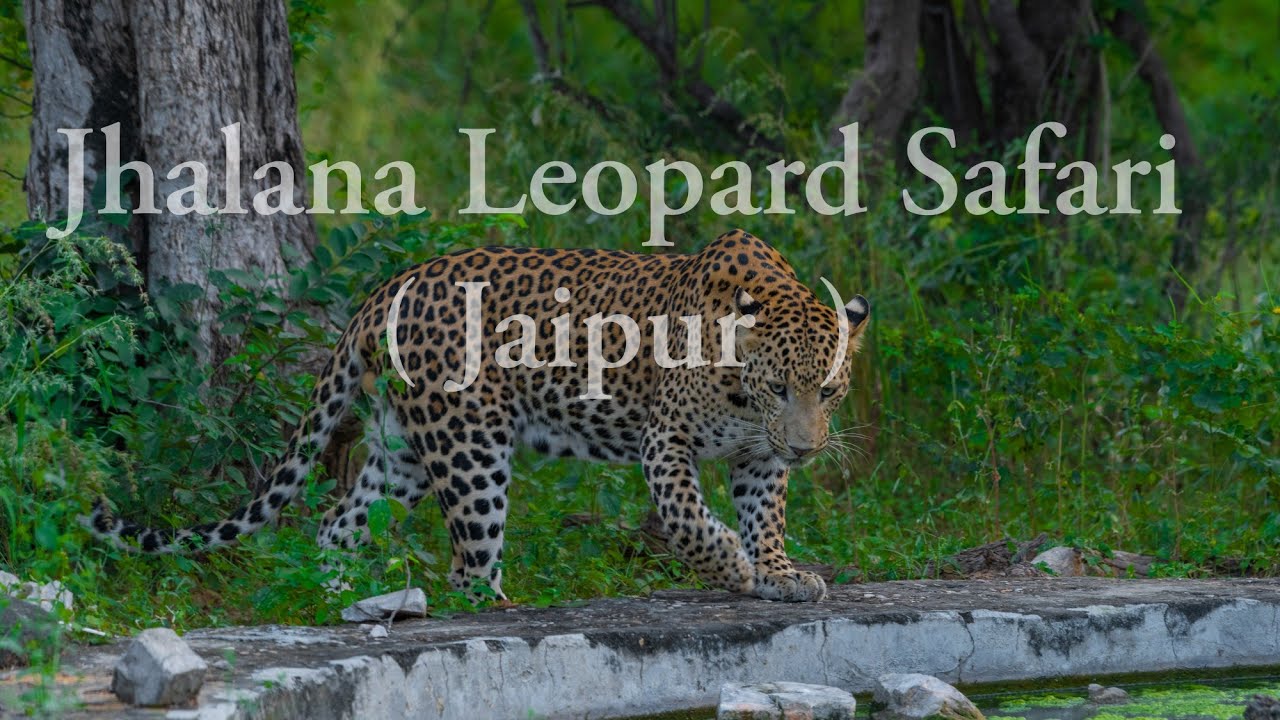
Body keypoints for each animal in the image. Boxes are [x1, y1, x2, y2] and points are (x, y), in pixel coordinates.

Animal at [87, 229, 871, 603]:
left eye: (829, 391)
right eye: (780, 388)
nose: (808, 449)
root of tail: (388, 287)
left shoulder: (760, 457)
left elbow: (766, 516)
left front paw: (779, 572)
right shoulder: (666, 438)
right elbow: (686, 515)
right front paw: (733, 567)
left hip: (403, 448)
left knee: (338, 522)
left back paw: (332, 595)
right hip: (469, 445)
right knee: (468, 567)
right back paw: (498, 610)